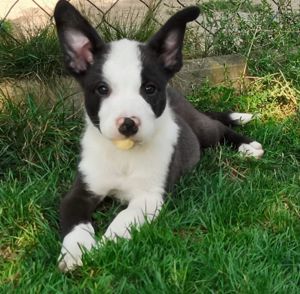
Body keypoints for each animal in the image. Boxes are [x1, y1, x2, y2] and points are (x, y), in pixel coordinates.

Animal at [53, 0, 262, 272]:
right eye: (102, 89)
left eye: (149, 89)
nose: (128, 124)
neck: (125, 155)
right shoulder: (81, 191)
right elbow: (75, 224)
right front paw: (75, 252)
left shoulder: (149, 197)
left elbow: (124, 217)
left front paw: (107, 244)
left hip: (201, 128)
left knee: (218, 129)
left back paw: (247, 146)